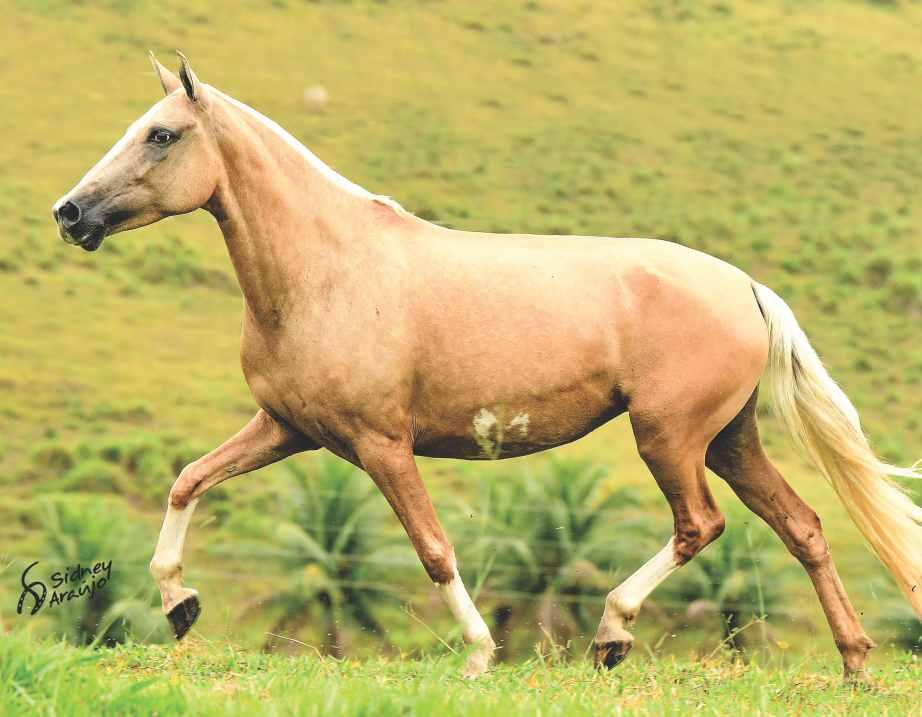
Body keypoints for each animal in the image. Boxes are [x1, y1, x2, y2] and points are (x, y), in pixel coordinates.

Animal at [54, 54, 916, 676]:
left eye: (162, 135)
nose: (69, 212)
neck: (328, 270)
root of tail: (745, 284)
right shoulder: (285, 429)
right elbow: (188, 479)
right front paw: (180, 603)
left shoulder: (381, 445)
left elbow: (434, 550)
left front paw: (478, 654)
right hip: (731, 440)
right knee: (803, 527)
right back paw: (854, 663)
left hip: (669, 438)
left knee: (700, 525)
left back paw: (611, 634)